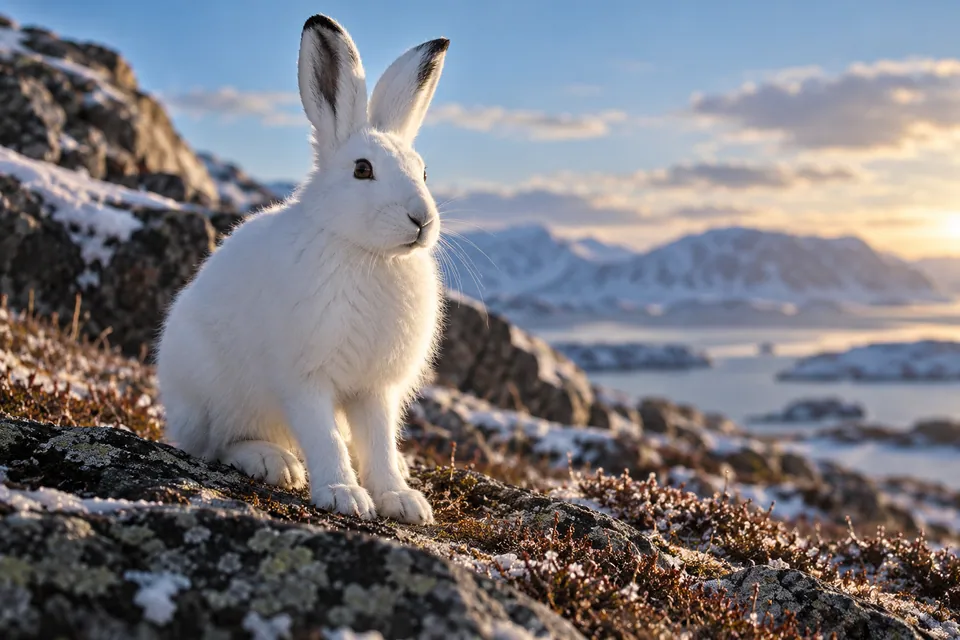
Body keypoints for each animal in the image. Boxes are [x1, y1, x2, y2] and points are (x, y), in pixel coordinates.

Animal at [155, 13, 451, 525]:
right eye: (362, 169)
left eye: (424, 172)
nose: (422, 220)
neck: (367, 254)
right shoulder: (305, 378)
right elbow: (324, 436)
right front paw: (344, 496)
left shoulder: (375, 390)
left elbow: (379, 444)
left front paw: (401, 501)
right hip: (212, 396)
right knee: (216, 445)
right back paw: (274, 463)